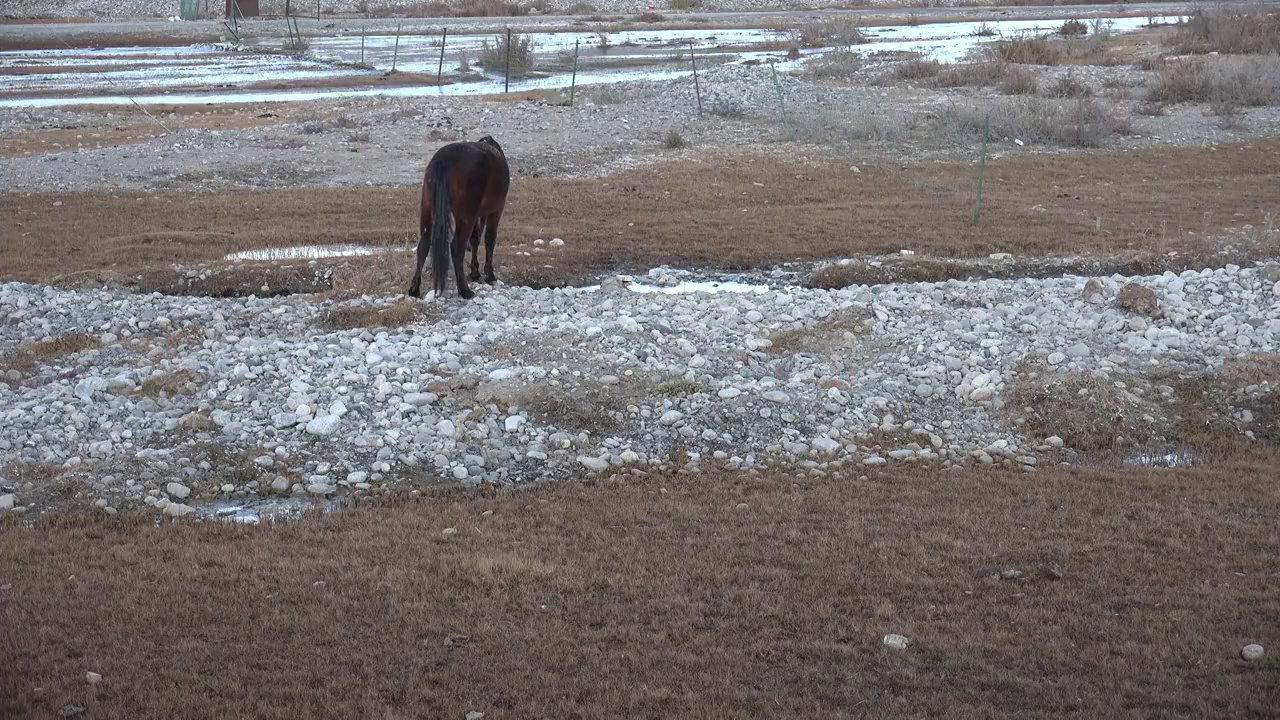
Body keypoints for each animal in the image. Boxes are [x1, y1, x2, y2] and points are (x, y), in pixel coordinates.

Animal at [409, 135, 509, 298]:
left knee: (423, 244)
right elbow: (489, 240)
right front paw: (490, 275)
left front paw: (475, 272)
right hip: (466, 215)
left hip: (428, 207)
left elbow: (475, 239)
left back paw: (414, 289)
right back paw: (465, 290)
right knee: (456, 247)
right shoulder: (495, 212)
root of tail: (444, 160)